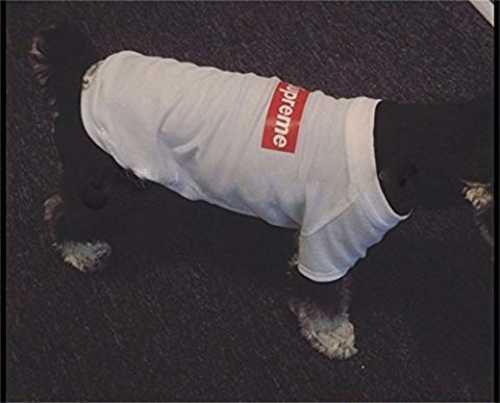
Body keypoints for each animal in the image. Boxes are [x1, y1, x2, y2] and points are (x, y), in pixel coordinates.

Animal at [30, 22, 493, 361]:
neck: (408, 144)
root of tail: (82, 73)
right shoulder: (326, 246)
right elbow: (324, 302)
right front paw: (334, 338)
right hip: (96, 181)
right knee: (61, 210)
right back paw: (81, 251)